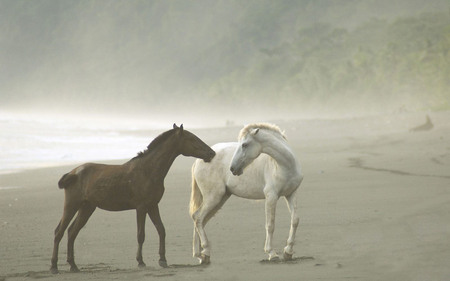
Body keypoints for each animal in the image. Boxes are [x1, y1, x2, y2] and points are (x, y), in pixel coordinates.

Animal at [50, 122, 215, 272]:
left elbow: (161, 229)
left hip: (87, 207)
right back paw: (54, 266)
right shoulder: (141, 207)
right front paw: (141, 262)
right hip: (72, 205)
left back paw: (73, 265)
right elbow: (141, 234)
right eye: (192, 138)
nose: (211, 153)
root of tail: (72, 173)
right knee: (59, 231)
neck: (148, 170)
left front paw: (162, 260)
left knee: (72, 232)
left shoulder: (153, 205)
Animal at [190, 122, 302, 262]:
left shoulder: (291, 194)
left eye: (244, 144)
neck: (285, 166)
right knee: (198, 218)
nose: (233, 168)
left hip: (220, 198)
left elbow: (295, 220)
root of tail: (199, 160)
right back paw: (204, 251)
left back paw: (201, 255)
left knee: (199, 219)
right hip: (214, 197)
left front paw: (288, 252)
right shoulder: (271, 196)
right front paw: (272, 253)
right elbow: (270, 224)